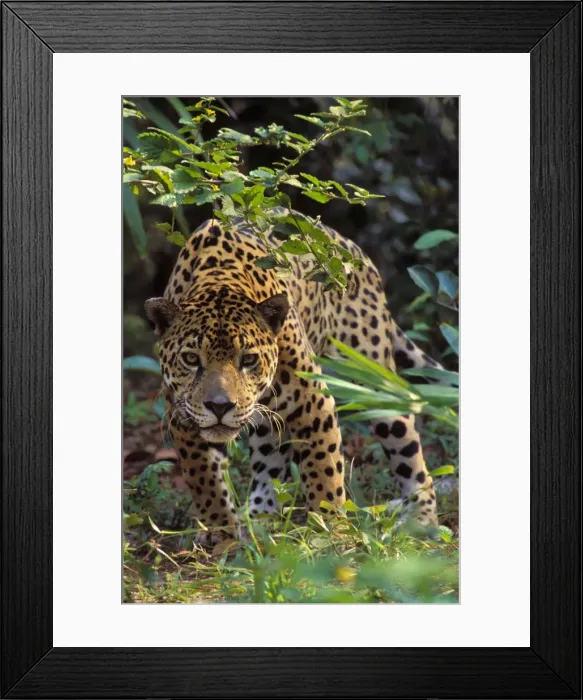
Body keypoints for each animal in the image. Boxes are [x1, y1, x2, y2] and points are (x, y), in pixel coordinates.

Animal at [145, 213, 446, 542]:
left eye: (248, 360)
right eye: (190, 359)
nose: (220, 406)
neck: (218, 279)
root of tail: (356, 251)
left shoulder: (313, 402)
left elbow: (324, 473)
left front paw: (331, 533)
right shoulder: (181, 416)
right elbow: (205, 481)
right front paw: (221, 534)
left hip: (374, 383)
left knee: (409, 453)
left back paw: (421, 518)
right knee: (270, 454)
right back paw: (260, 517)